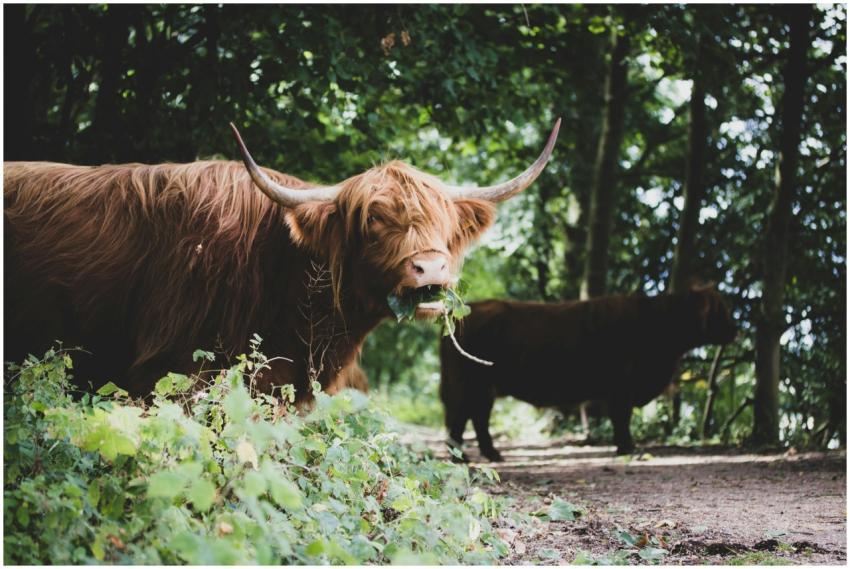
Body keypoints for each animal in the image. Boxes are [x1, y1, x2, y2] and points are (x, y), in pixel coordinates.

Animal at [439, 285, 737, 461]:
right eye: (721, 309)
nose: (736, 331)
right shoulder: (622, 386)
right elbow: (622, 418)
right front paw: (627, 447)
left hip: (482, 387)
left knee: (475, 418)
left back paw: (488, 454)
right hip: (472, 383)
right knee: (465, 417)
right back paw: (463, 456)